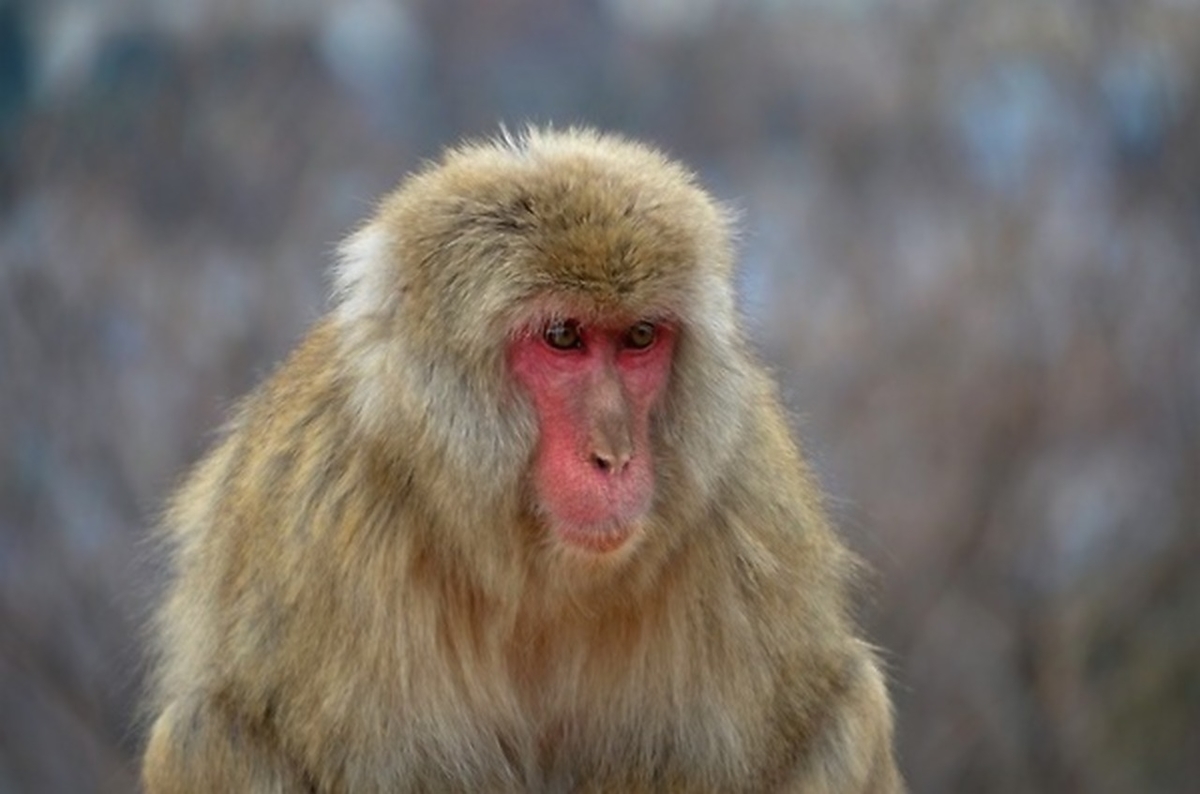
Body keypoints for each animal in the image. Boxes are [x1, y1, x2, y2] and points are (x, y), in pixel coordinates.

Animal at [141, 127, 903, 793]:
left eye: (640, 337)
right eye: (563, 337)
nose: (614, 456)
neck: (533, 568)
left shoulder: (748, 505)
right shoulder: (323, 531)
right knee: (206, 734)